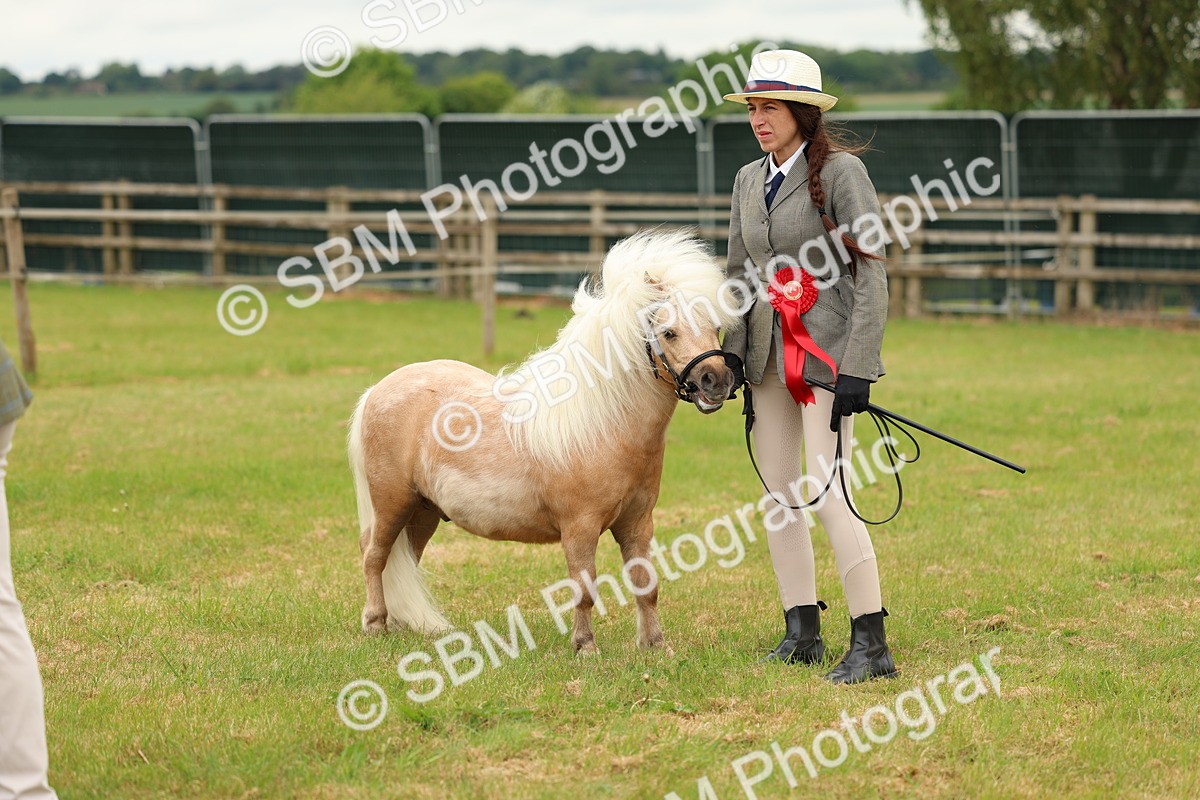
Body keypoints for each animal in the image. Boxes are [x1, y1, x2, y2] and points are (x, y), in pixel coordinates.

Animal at [347, 229, 741, 654]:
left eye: (714, 327)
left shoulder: (638, 524)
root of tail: (377, 390)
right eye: (669, 332)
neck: (605, 424)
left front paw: (655, 645)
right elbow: (584, 589)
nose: (717, 381)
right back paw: (375, 623)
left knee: (405, 559)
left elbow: (645, 585)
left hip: (423, 512)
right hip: (392, 503)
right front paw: (585, 646)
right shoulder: (580, 529)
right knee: (374, 555)